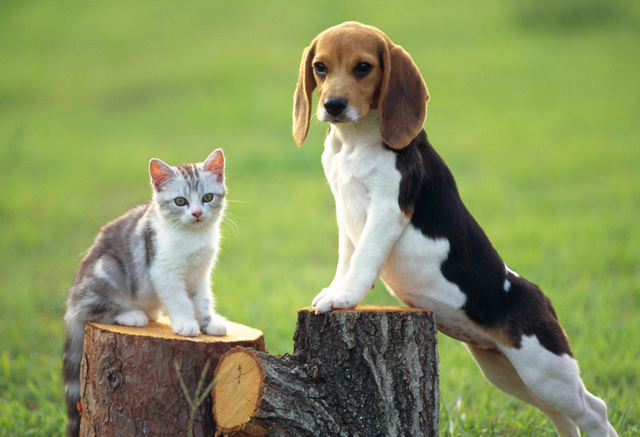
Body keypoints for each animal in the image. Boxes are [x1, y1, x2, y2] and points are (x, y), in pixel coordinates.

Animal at [62, 148, 230, 434]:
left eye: (207, 197)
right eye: (180, 201)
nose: (197, 213)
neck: (193, 236)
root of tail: (72, 300)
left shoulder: (200, 274)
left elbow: (202, 300)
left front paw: (208, 323)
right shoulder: (163, 270)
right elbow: (180, 300)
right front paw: (187, 324)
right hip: (108, 270)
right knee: (93, 311)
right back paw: (133, 316)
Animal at [292, 22, 616, 436]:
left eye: (363, 67)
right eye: (320, 67)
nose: (333, 105)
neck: (355, 141)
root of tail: (542, 297)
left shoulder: (387, 209)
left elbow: (363, 257)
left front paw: (344, 297)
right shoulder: (343, 208)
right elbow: (347, 257)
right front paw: (337, 289)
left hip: (546, 370)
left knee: (593, 410)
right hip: (507, 372)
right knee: (562, 416)